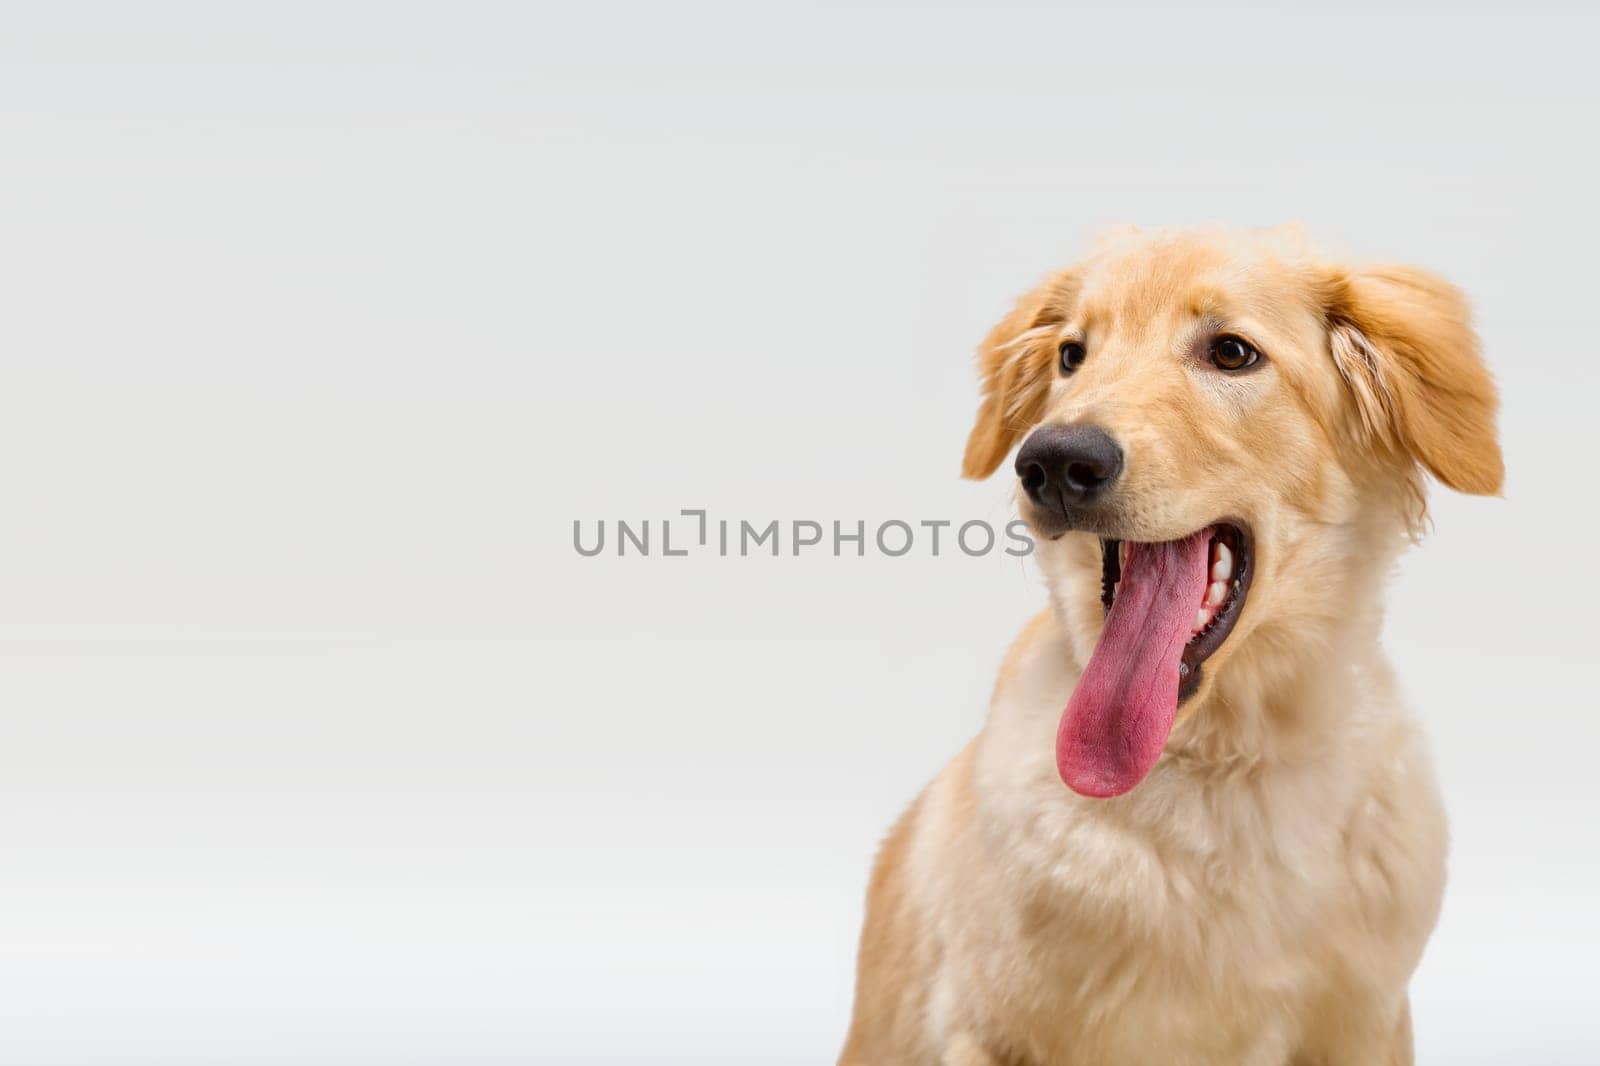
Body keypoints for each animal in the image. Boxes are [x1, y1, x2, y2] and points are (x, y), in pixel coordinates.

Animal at [838, 225, 1497, 1062]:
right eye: (1073, 355)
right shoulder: (987, 1031)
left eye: (1232, 353)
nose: (1054, 461)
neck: (1222, 761)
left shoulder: (1365, 1023)